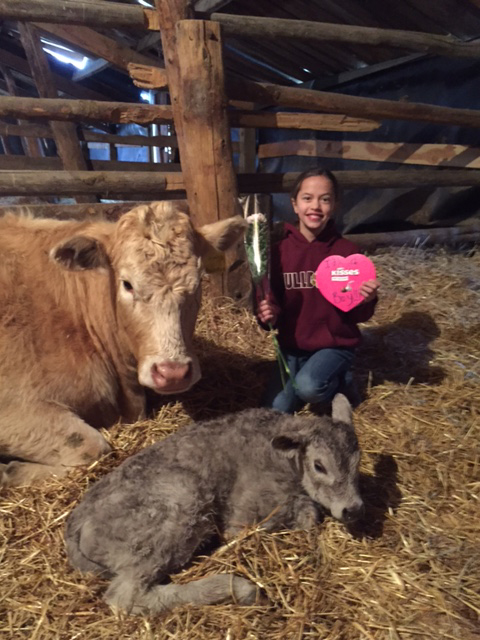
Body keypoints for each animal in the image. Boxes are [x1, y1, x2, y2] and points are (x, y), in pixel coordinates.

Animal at [65, 394, 363, 614]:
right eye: (319, 465)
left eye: (358, 462)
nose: (353, 509)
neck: (282, 458)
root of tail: (75, 523)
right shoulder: (246, 512)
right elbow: (307, 515)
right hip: (175, 507)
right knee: (126, 597)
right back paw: (239, 588)